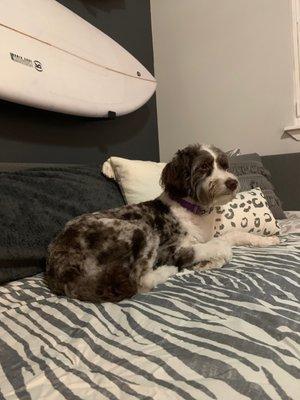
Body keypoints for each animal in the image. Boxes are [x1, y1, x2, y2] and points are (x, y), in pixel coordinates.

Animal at [45, 145, 280, 302]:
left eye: (224, 165)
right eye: (204, 167)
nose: (232, 182)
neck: (192, 209)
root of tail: (58, 265)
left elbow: (233, 235)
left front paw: (266, 241)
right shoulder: (168, 249)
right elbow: (219, 247)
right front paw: (209, 261)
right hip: (141, 230)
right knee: (140, 281)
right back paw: (167, 272)